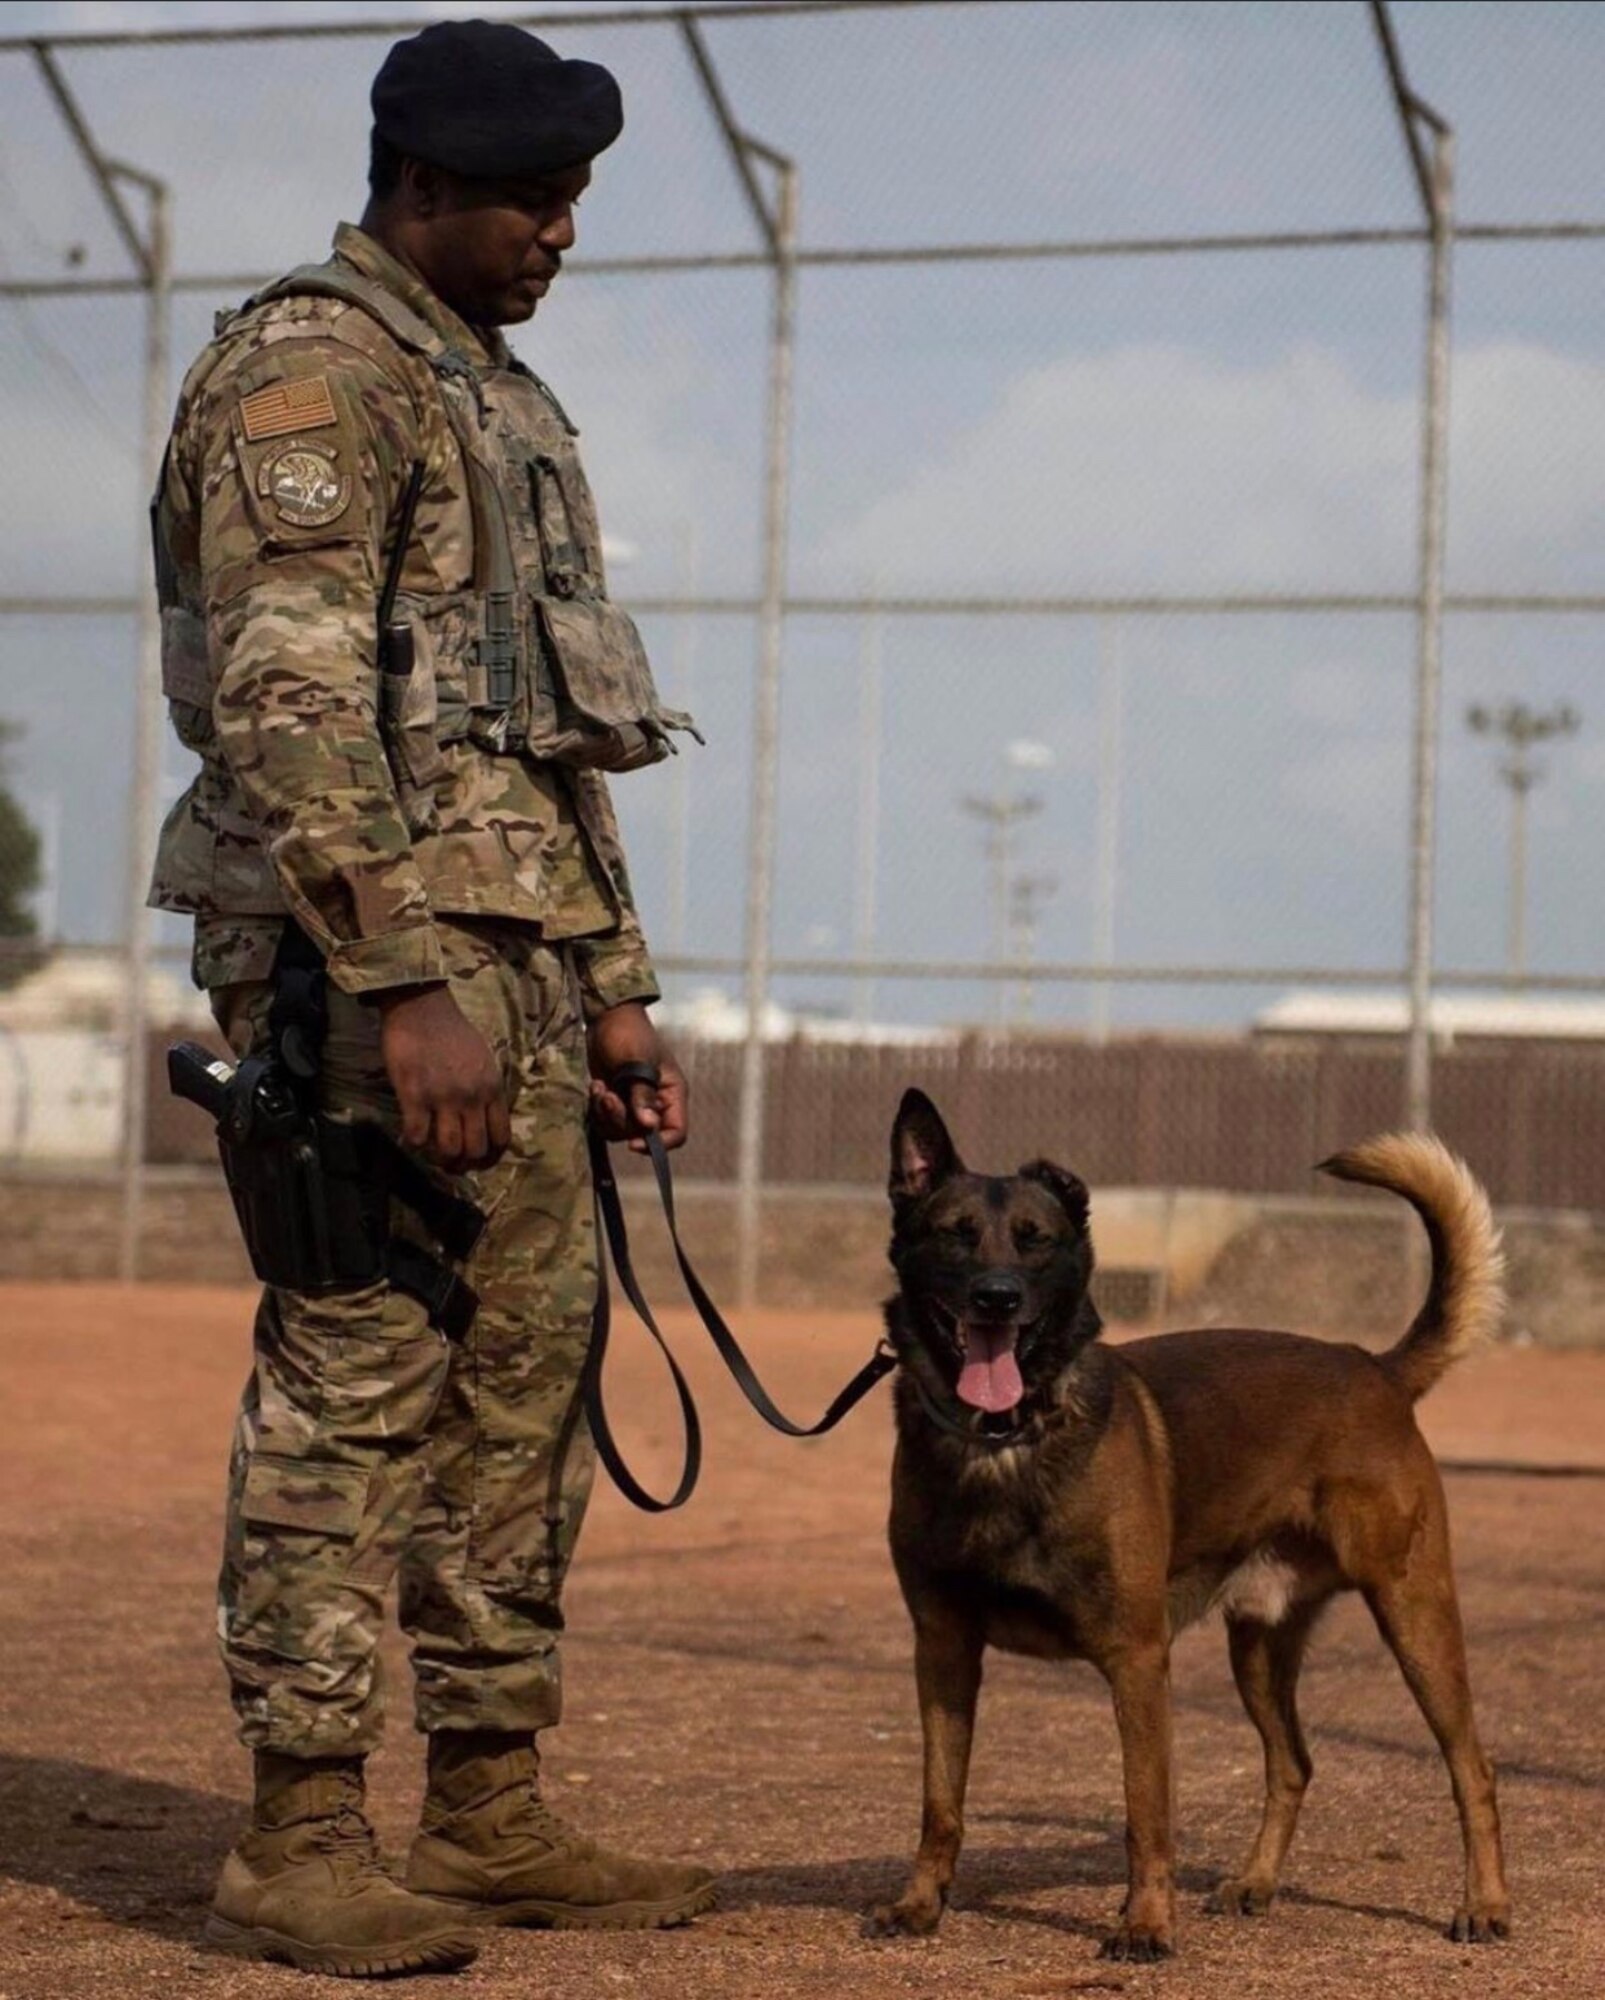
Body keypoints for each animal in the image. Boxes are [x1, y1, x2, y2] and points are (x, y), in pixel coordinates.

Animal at [864, 1088, 1504, 1960]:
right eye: (954, 1233)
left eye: (1035, 1240)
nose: (996, 1296)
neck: (1003, 1443)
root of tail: (1373, 1366)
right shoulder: (941, 1651)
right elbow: (940, 1805)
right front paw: (920, 1905)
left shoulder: (1136, 1660)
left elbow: (1146, 1811)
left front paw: (1144, 1924)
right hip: (1259, 1648)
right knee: (1292, 1763)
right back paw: (1253, 1883)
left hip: (1415, 1617)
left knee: (1471, 1768)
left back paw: (1484, 1905)